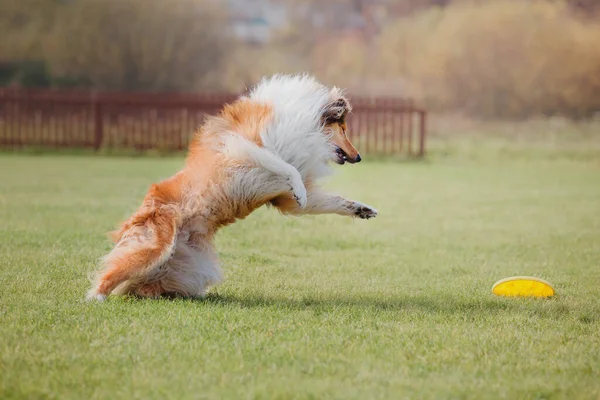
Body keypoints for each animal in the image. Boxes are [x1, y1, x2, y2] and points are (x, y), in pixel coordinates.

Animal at [86, 74, 378, 300]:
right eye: (343, 128)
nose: (359, 157)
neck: (306, 126)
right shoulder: (241, 146)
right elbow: (286, 166)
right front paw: (300, 189)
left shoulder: (283, 198)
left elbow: (330, 201)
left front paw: (362, 209)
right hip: (153, 245)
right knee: (109, 273)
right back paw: (96, 297)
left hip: (185, 268)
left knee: (145, 285)